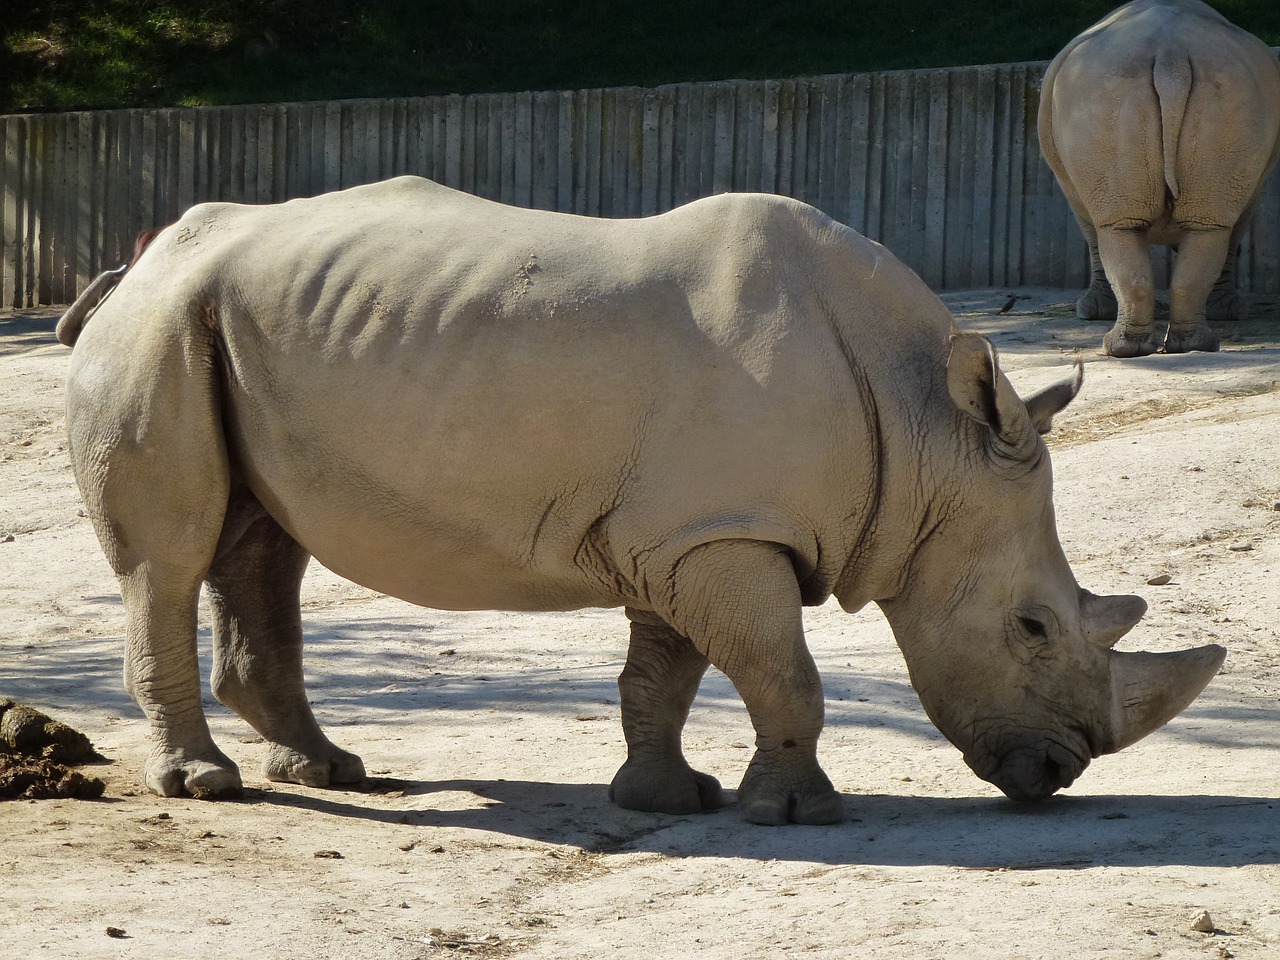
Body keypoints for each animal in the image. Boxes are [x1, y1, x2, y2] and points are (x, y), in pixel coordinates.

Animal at [57, 179, 1218, 829]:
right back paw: (206, 786)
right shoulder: (721, 533)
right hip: (165, 329)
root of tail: (138, 263)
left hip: (227, 327)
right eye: (1029, 628)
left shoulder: (685, 534)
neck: (929, 433)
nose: (1056, 773)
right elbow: (784, 675)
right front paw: (798, 815)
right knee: (170, 558)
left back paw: (332, 770)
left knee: (262, 546)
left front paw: (667, 799)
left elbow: (666, 673)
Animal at [1039, 0, 1280, 358]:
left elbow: (1093, 239)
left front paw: (1091, 312)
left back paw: (1125, 346)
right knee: (1205, 226)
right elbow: (1231, 236)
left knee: (1119, 228)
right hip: (1228, 89)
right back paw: (1186, 346)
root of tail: (1171, 56)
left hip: (1105, 91)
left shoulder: (1075, 190)